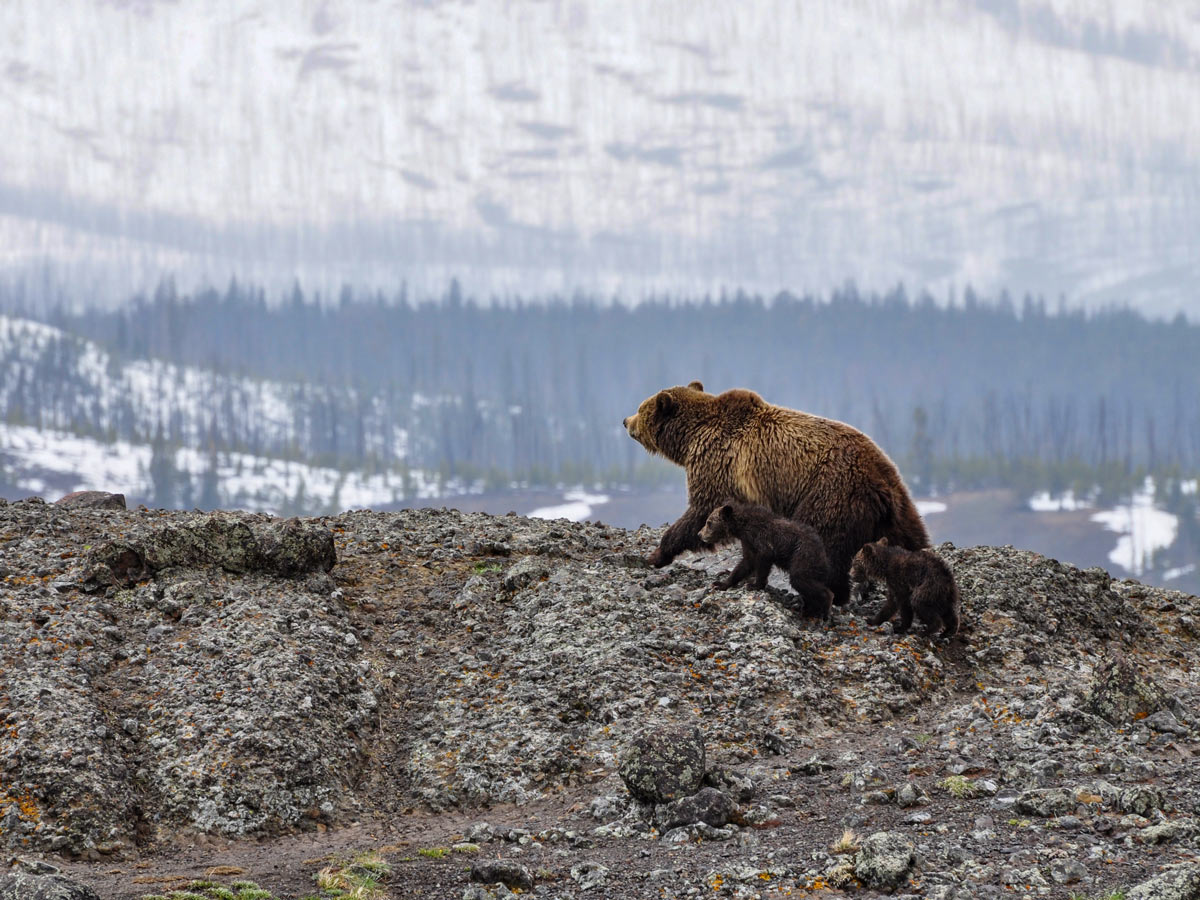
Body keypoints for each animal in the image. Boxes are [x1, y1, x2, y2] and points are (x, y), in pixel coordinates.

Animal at [624, 381, 931, 607]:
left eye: (641, 407)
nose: (626, 420)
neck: (690, 438)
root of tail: (881, 482)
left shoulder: (717, 463)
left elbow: (700, 511)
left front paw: (657, 554)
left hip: (830, 492)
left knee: (825, 543)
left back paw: (826, 594)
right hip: (899, 506)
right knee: (913, 539)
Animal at [696, 501, 835, 619]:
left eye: (709, 522)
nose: (699, 534)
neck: (742, 527)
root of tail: (824, 555)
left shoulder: (762, 540)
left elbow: (762, 561)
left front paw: (754, 584)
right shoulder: (748, 543)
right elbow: (745, 564)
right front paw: (720, 583)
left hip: (803, 555)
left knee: (800, 578)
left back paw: (824, 608)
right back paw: (808, 609)